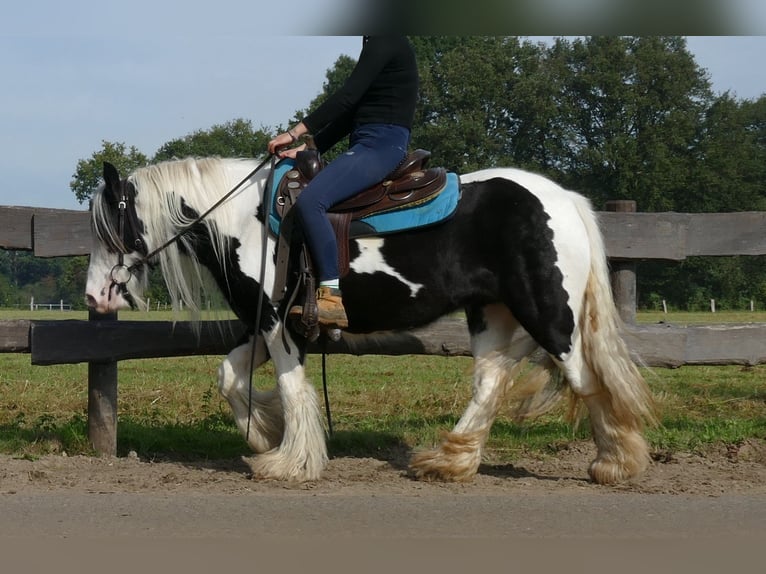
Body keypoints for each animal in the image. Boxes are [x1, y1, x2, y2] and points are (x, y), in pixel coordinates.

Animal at [87, 155, 656, 484]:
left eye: (109, 224)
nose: (94, 296)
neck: (245, 221)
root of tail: (564, 199)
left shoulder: (278, 323)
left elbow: (292, 389)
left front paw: (289, 461)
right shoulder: (264, 323)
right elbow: (230, 376)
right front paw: (264, 435)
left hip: (549, 315)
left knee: (584, 376)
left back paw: (615, 463)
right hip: (491, 313)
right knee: (491, 380)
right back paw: (449, 461)